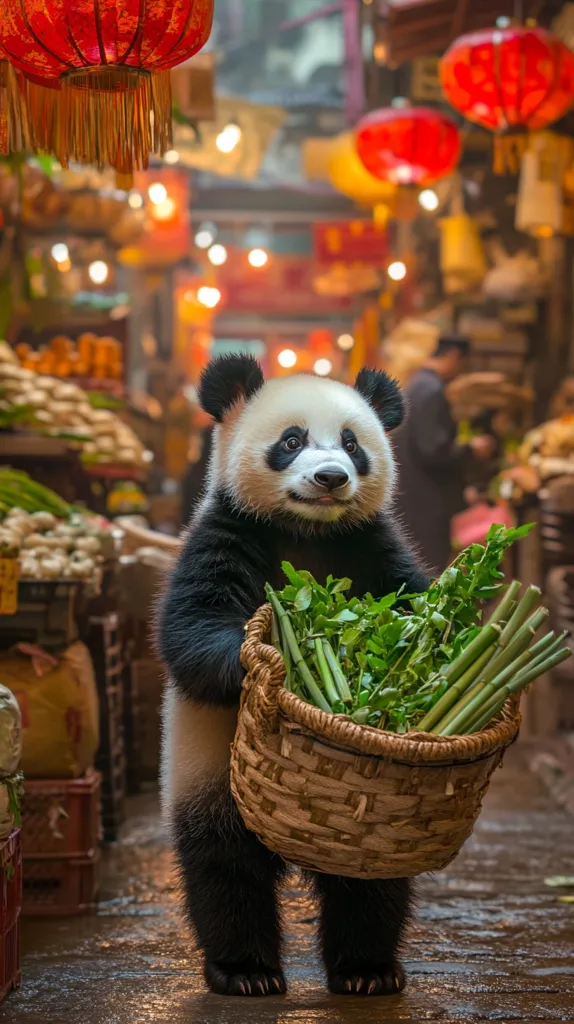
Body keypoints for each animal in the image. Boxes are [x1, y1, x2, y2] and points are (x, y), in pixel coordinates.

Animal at [156, 354, 428, 999]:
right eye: (292, 440)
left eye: (353, 444)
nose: (330, 478)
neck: (307, 531)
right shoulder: (223, 532)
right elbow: (189, 632)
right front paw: (268, 664)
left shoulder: (372, 545)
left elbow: (415, 602)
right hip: (206, 777)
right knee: (223, 866)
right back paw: (245, 971)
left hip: (371, 828)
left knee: (371, 879)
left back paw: (366, 970)